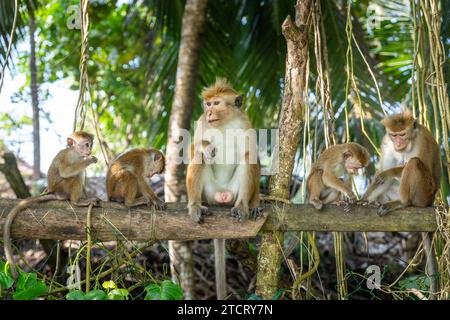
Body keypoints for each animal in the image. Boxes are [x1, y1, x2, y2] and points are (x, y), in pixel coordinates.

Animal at [3, 131, 98, 278]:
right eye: (86, 144)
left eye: (91, 144)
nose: (90, 150)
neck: (75, 152)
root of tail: (56, 192)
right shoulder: (68, 156)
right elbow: (65, 171)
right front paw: (89, 160)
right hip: (63, 187)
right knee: (74, 176)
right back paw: (77, 201)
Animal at [186, 79, 262, 298]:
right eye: (208, 105)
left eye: (216, 103)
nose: (210, 112)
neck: (224, 123)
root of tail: (221, 196)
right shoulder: (201, 122)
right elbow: (193, 149)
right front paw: (205, 146)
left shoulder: (245, 123)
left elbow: (252, 155)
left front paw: (255, 204)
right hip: (209, 193)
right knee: (199, 158)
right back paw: (195, 206)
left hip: (232, 192)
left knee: (247, 158)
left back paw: (242, 206)